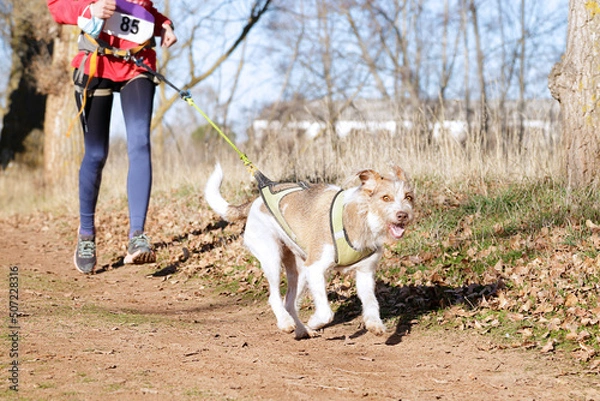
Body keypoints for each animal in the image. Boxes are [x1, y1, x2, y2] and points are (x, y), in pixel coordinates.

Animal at [204, 162, 414, 338]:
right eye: (385, 198)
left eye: (408, 197)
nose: (403, 215)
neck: (363, 217)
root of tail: (255, 202)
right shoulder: (315, 268)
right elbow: (326, 313)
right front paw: (314, 322)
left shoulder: (365, 274)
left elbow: (371, 303)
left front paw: (375, 324)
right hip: (272, 258)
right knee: (274, 298)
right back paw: (286, 323)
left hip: (300, 271)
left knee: (289, 303)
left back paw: (301, 330)